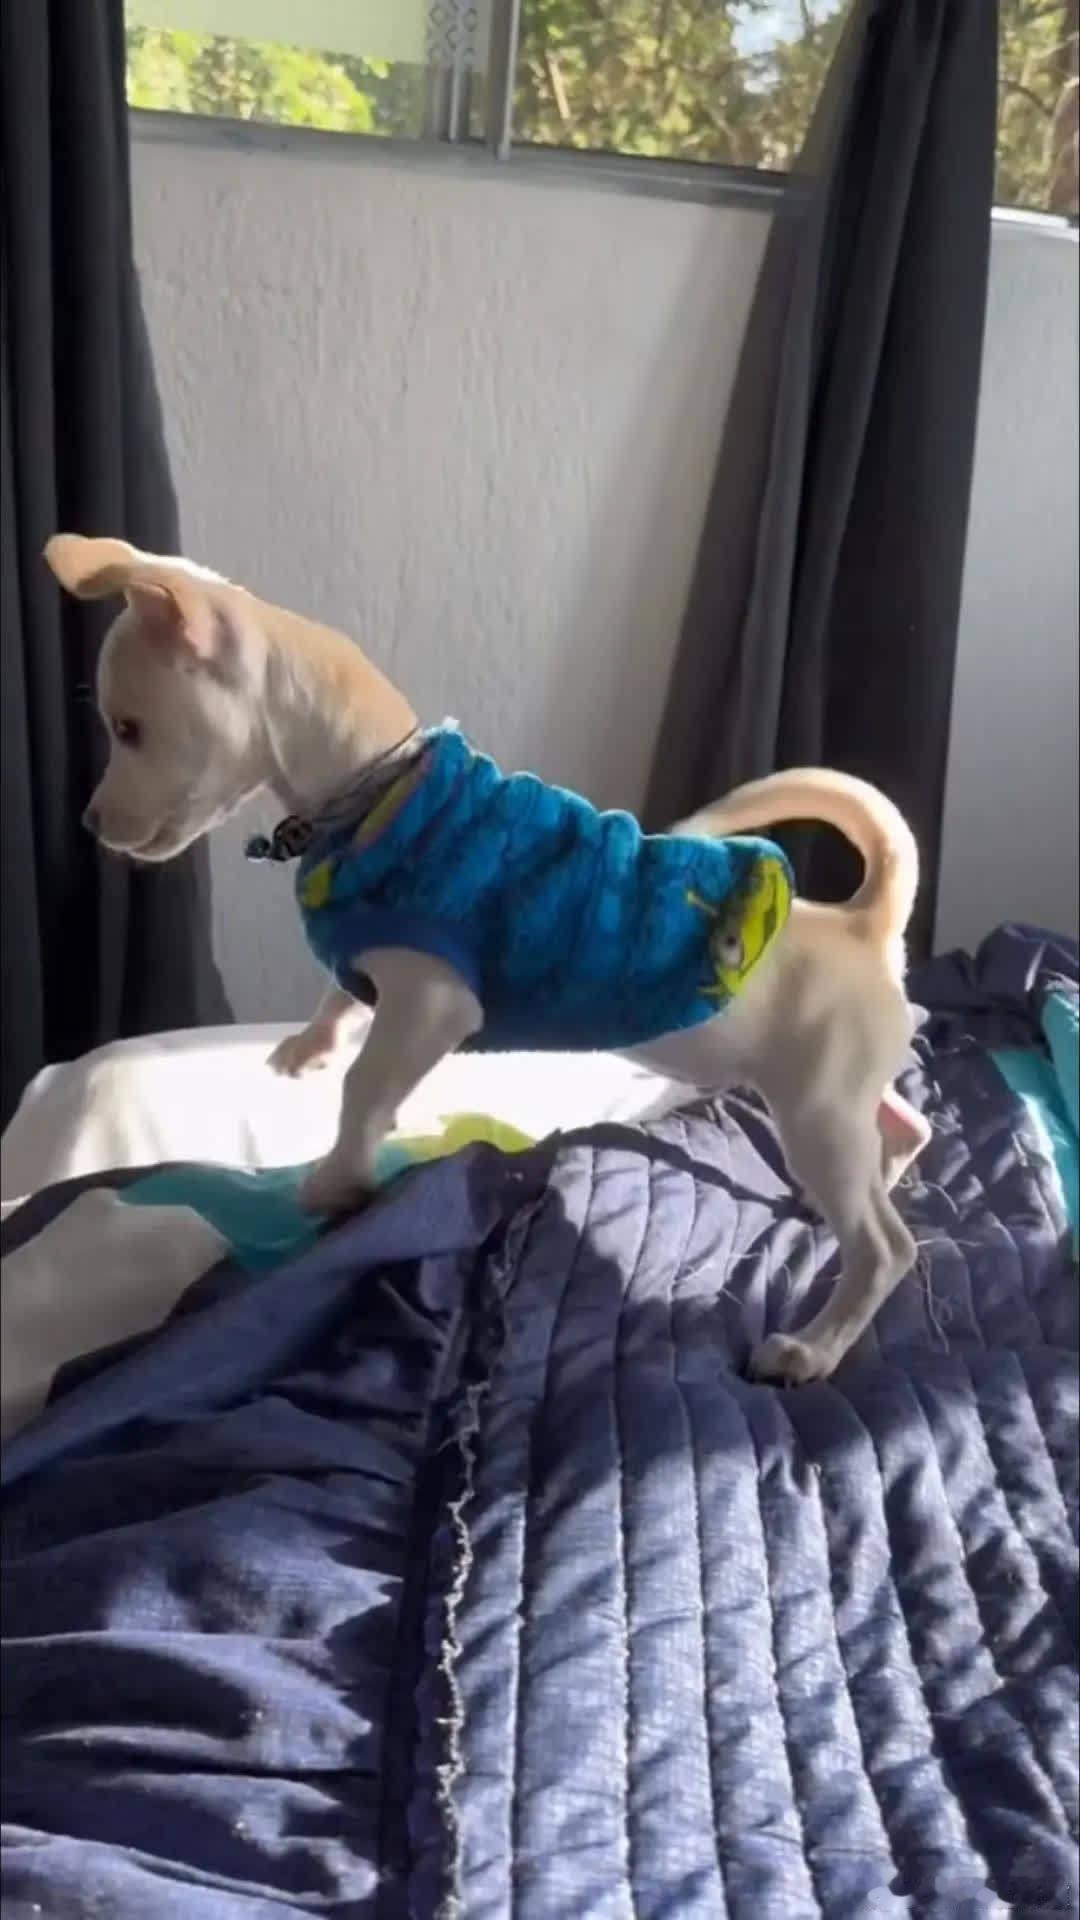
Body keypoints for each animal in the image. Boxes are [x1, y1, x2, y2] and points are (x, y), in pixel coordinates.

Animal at [45, 531, 930, 1384]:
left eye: (128, 730)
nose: (89, 825)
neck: (374, 797)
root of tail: (866, 923)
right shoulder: (374, 963)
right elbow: (342, 1002)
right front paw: (309, 1048)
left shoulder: (431, 1005)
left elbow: (367, 1088)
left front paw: (339, 1177)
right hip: (836, 1103)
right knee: (905, 1126)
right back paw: (853, 1202)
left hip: (815, 1112)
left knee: (889, 1247)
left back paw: (813, 1347)